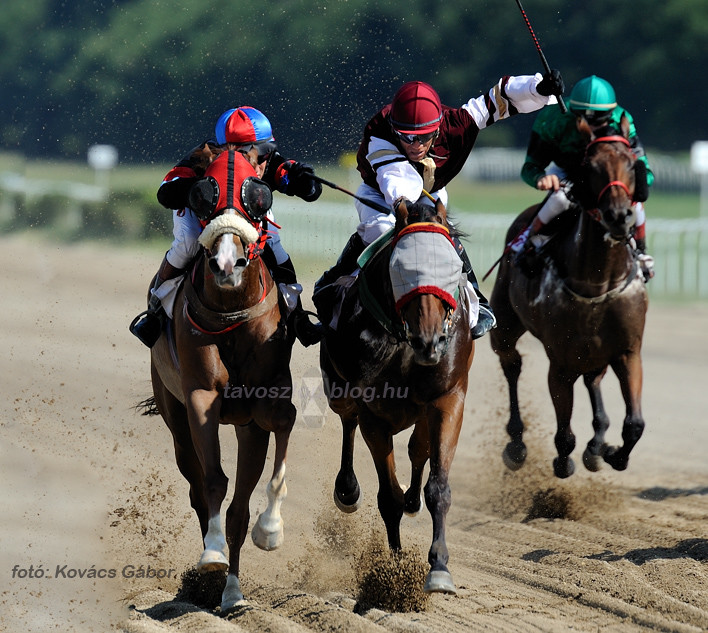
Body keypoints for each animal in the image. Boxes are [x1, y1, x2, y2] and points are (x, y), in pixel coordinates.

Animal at [147, 148, 296, 612]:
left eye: (258, 194)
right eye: (202, 193)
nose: (228, 263)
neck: (232, 311)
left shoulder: (266, 402)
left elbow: (285, 421)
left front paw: (271, 529)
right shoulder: (200, 395)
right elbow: (213, 479)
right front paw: (210, 555)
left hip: (248, 430)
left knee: (238, 512)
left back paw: (231, 593)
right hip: (172, 413)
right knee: (198, 487)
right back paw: (212, 578)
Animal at [320, 200, 476, 596]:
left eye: (450, 265)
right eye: (403, 271)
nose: (430, 341)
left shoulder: (447, 398)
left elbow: (438, 486)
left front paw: (439, 569)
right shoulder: (372, 412)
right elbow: (386, 496)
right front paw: (394, 569)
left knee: (418, 449)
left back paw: (413, 498)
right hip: (338, 389)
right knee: (347, 421)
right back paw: (347, 489)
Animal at [490, 115, 648, 478]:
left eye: (630, 163)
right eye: (590, 166)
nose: (619, 216)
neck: (599, 283)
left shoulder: (628, 350)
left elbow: (635, 424)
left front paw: (612, 452)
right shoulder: (560, 361)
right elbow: (564, 436)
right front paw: (565, 462)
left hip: (595, 352)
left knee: (592, 379)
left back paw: (597, 441)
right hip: (503, 325)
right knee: (512, 364)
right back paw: (516, 443)